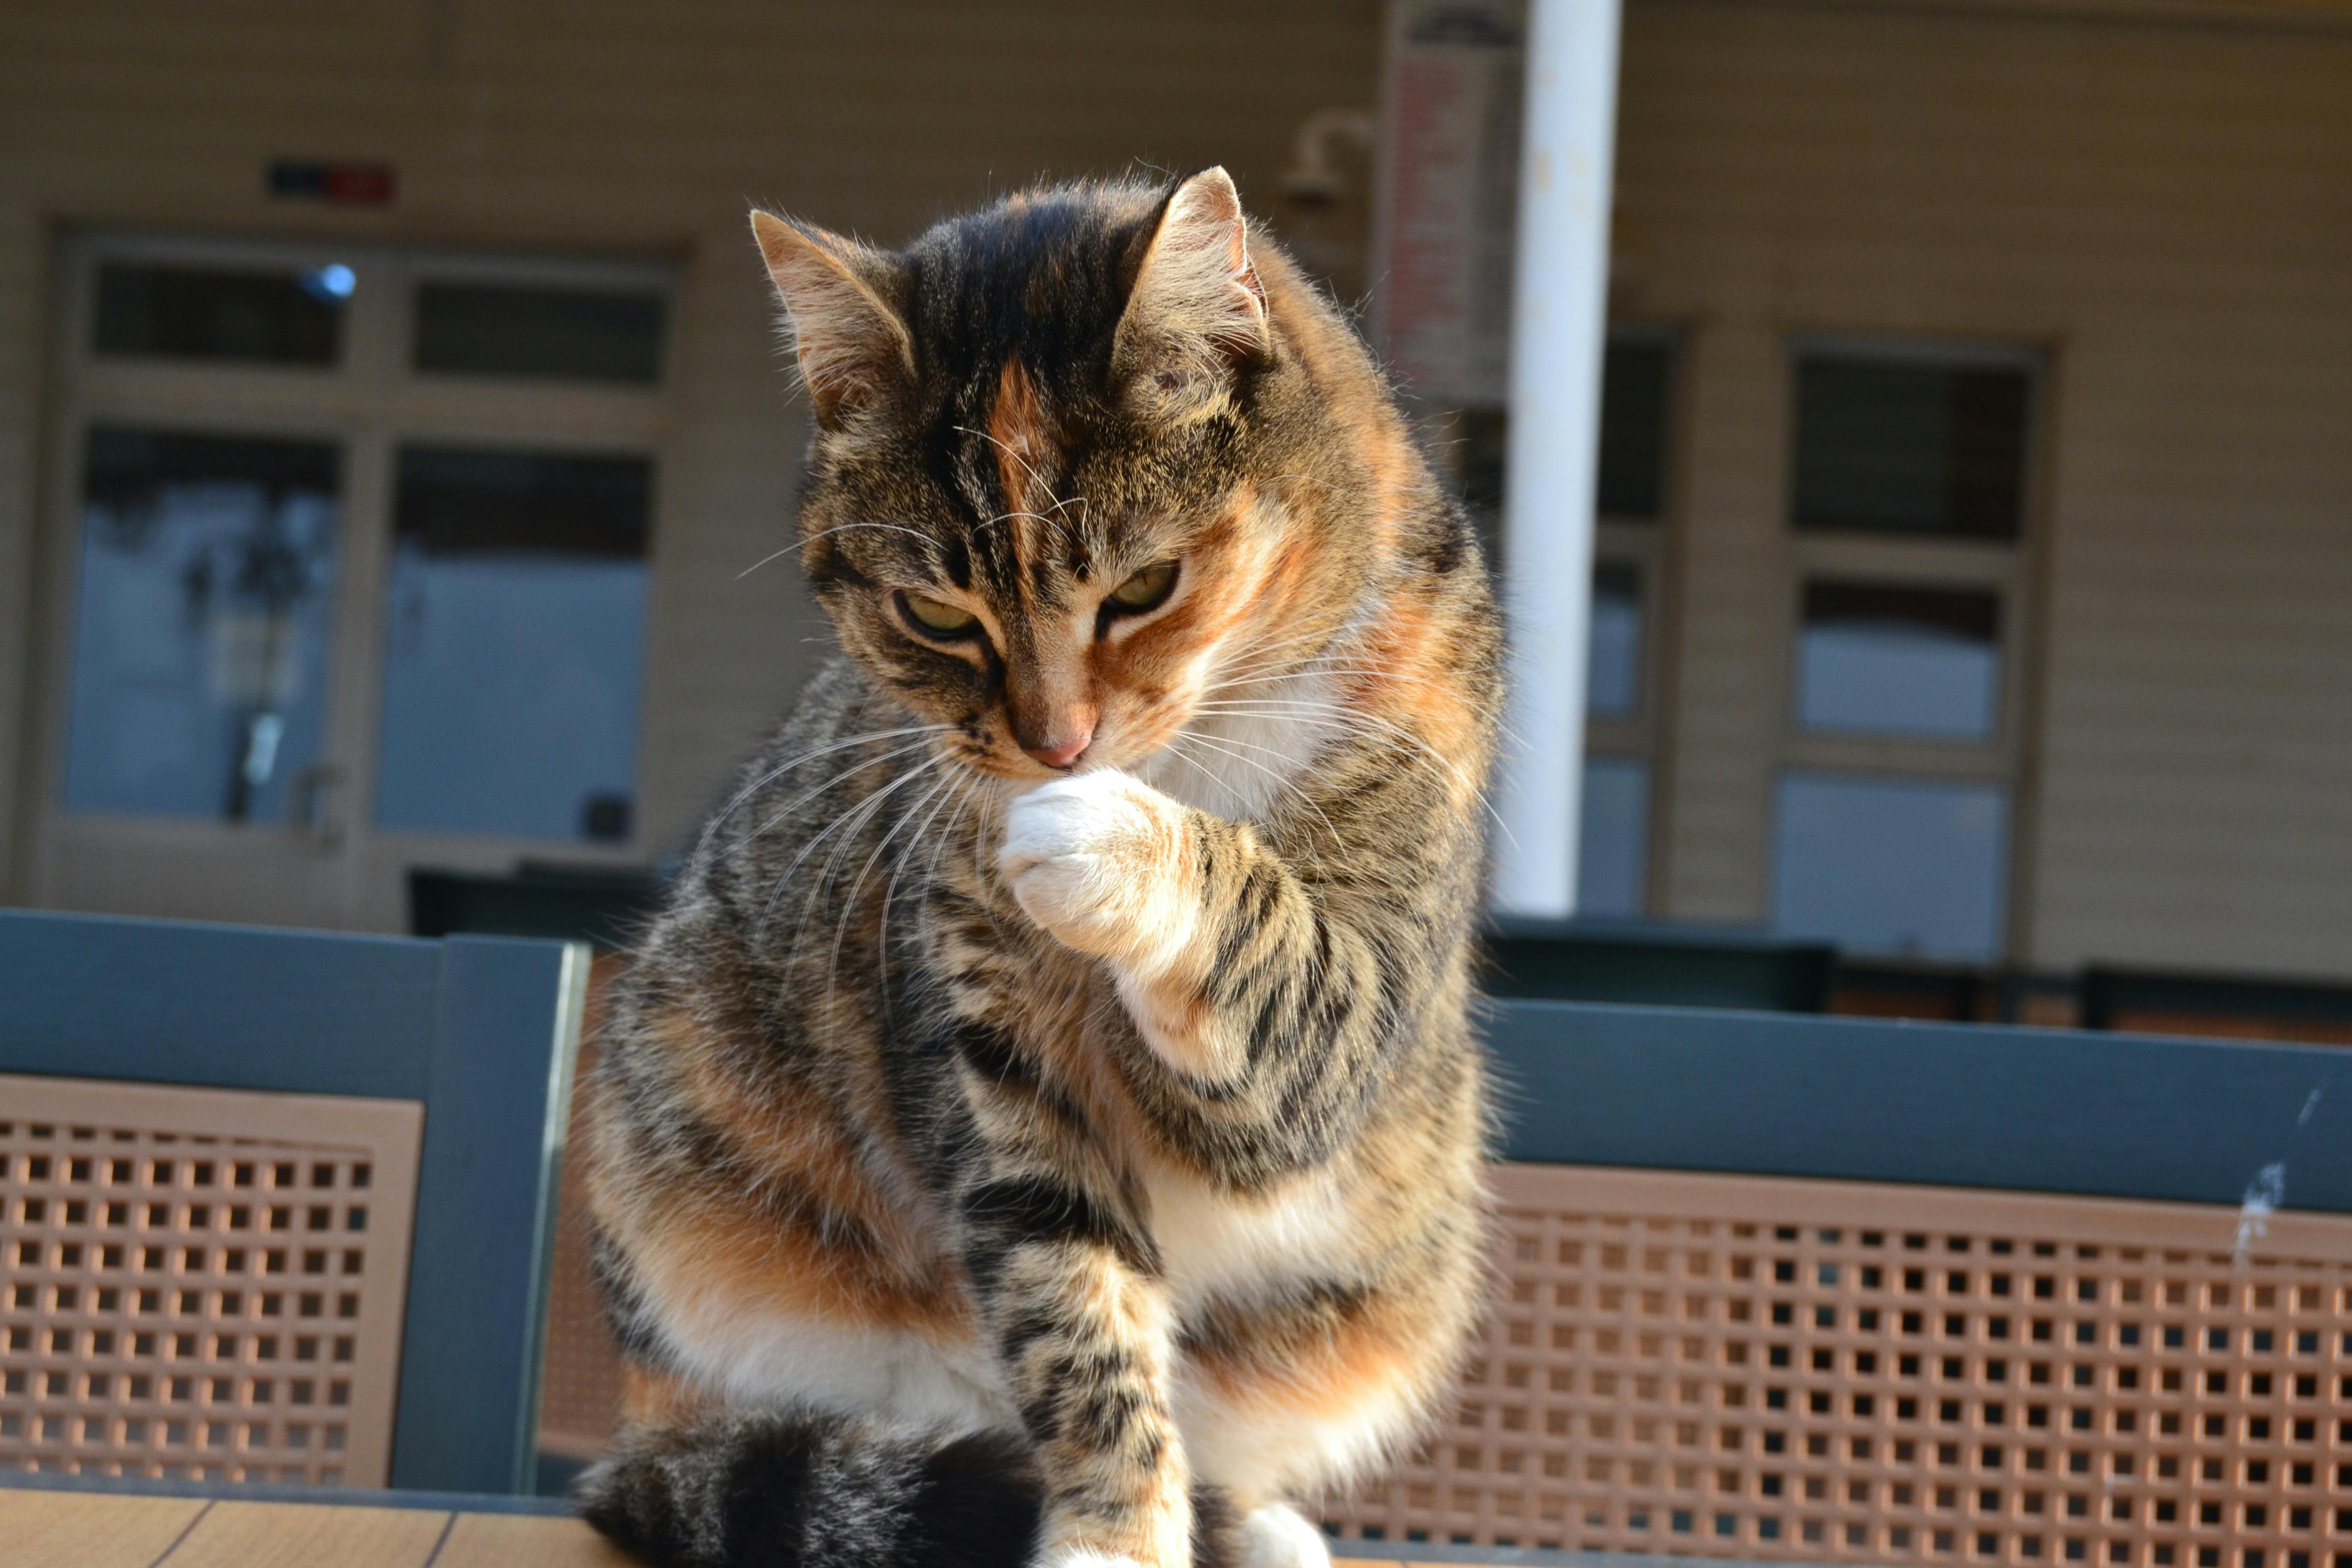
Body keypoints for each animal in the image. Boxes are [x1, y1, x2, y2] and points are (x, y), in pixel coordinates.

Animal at [578, 172, 1505, 1568]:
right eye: (934, 613)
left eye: (1146, 585)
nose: (1056, 745)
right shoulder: (996, 1046)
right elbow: (1072, 1296)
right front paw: (1112, 1536)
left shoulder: (1343, 1008)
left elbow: (1276, 967)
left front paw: (1103, 837)